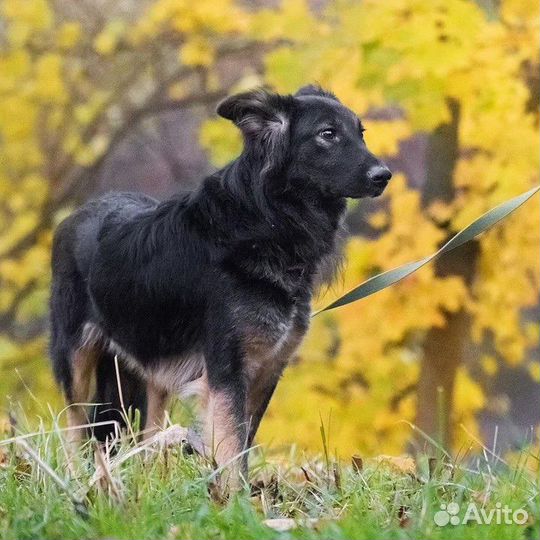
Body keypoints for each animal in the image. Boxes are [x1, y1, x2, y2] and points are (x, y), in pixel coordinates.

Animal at [48, 84, 390, 486]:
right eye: (328, 134)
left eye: (360, 132)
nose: (384, 175)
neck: (267, 219)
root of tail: (76, 215)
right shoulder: (227, 370)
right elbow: (231, 449)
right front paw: (235, 499)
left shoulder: (267, 368)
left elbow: (242, 442)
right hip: (76, 359)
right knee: (74, 428)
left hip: (153, 365)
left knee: (147, 434)